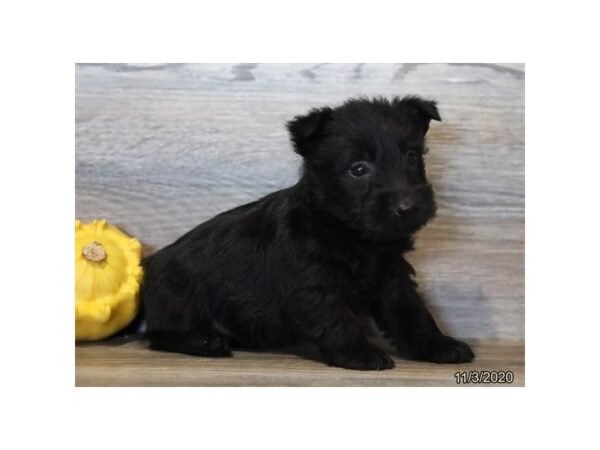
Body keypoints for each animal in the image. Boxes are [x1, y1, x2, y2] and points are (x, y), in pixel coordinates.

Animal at [141, 95, 474, 370]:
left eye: (412, 157)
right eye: (358, 169)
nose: (407, 206)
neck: (354, 234)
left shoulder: (392, 275)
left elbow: (411, 311)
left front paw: (437, 344)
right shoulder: (314, 282)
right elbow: (336, 317)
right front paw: (358, 352)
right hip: (180, 298)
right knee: (160, 334)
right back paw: (204, 340)